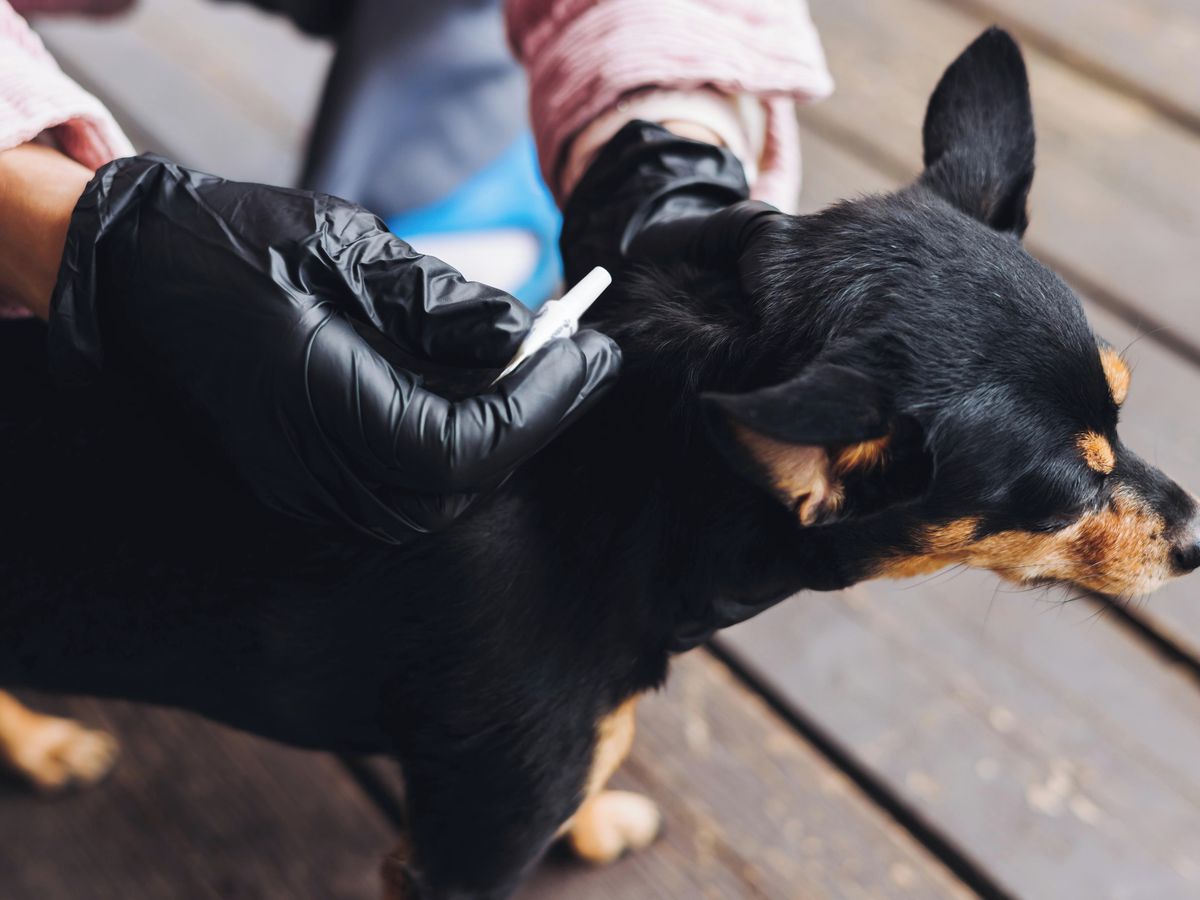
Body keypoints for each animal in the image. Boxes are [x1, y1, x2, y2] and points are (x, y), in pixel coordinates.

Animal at [0, 27, 1195, 900]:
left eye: (1125, 408)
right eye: (1068, 487)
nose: (1195, 535)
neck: (629, 503)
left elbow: (605, 757)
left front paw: (599, 815)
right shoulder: (463, 850)